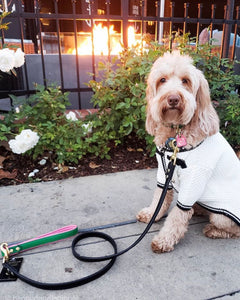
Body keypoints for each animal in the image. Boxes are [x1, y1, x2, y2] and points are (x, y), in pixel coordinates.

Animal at [137, 50, 240, 252]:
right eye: (162, 80)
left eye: (185, 80)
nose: (173, 98)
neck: (176, 133)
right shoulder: (163, 169)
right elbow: (160, 197)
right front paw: (151, 214)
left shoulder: (195, 177)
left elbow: (178, 213)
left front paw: (164, 240)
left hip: (221, 216)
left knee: (234, 230)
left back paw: (213, 230)